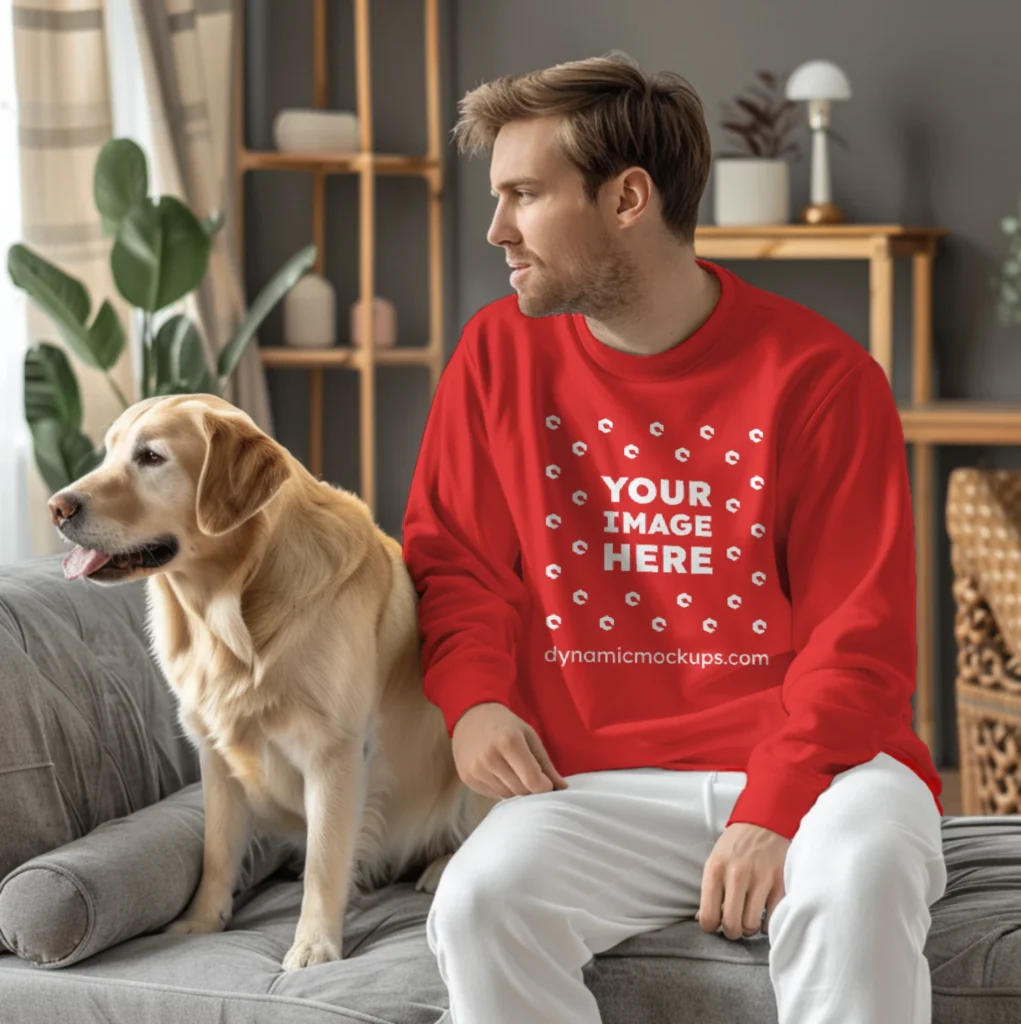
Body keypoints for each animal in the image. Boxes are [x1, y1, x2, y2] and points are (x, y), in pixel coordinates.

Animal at [46, 389, 489, 966]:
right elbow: (216, 851)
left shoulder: (334, 752)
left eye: (151, 457)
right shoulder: (214, 755)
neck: (231, 609)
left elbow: (325, 859)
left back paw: (441, 867)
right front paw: (202, 921)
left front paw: (314, 945)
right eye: (108, 452)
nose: (57, 507)